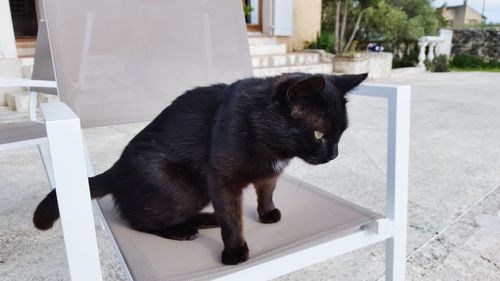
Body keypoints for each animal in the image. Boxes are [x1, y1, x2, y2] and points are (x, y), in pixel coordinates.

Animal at [32, 72, 368, 264]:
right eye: (319, 134)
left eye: (341, 133)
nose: (334, 154)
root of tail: (115, 169)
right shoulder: (220, 178)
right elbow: (232, 219)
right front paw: (235, 252)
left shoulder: (269, 173)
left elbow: (266, 190)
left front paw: (267, 212)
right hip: (180, 189)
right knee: (140, 221)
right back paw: (185, 231)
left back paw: (206, 219)